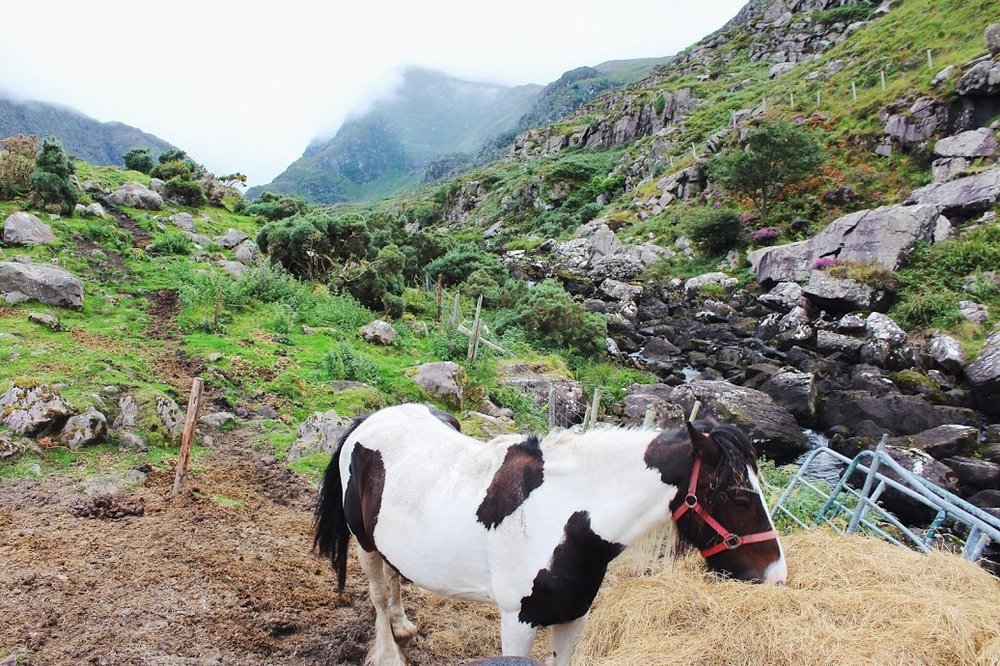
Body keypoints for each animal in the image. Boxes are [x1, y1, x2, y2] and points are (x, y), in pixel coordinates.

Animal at [316, 402, 784, 660]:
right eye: (739, 499)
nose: (777, 575)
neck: (565, 523)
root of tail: (367, 421)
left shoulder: (574, 619)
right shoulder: (518, 623)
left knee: (395, 577)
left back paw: (402, 625)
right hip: (364, 543)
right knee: (379, 595)